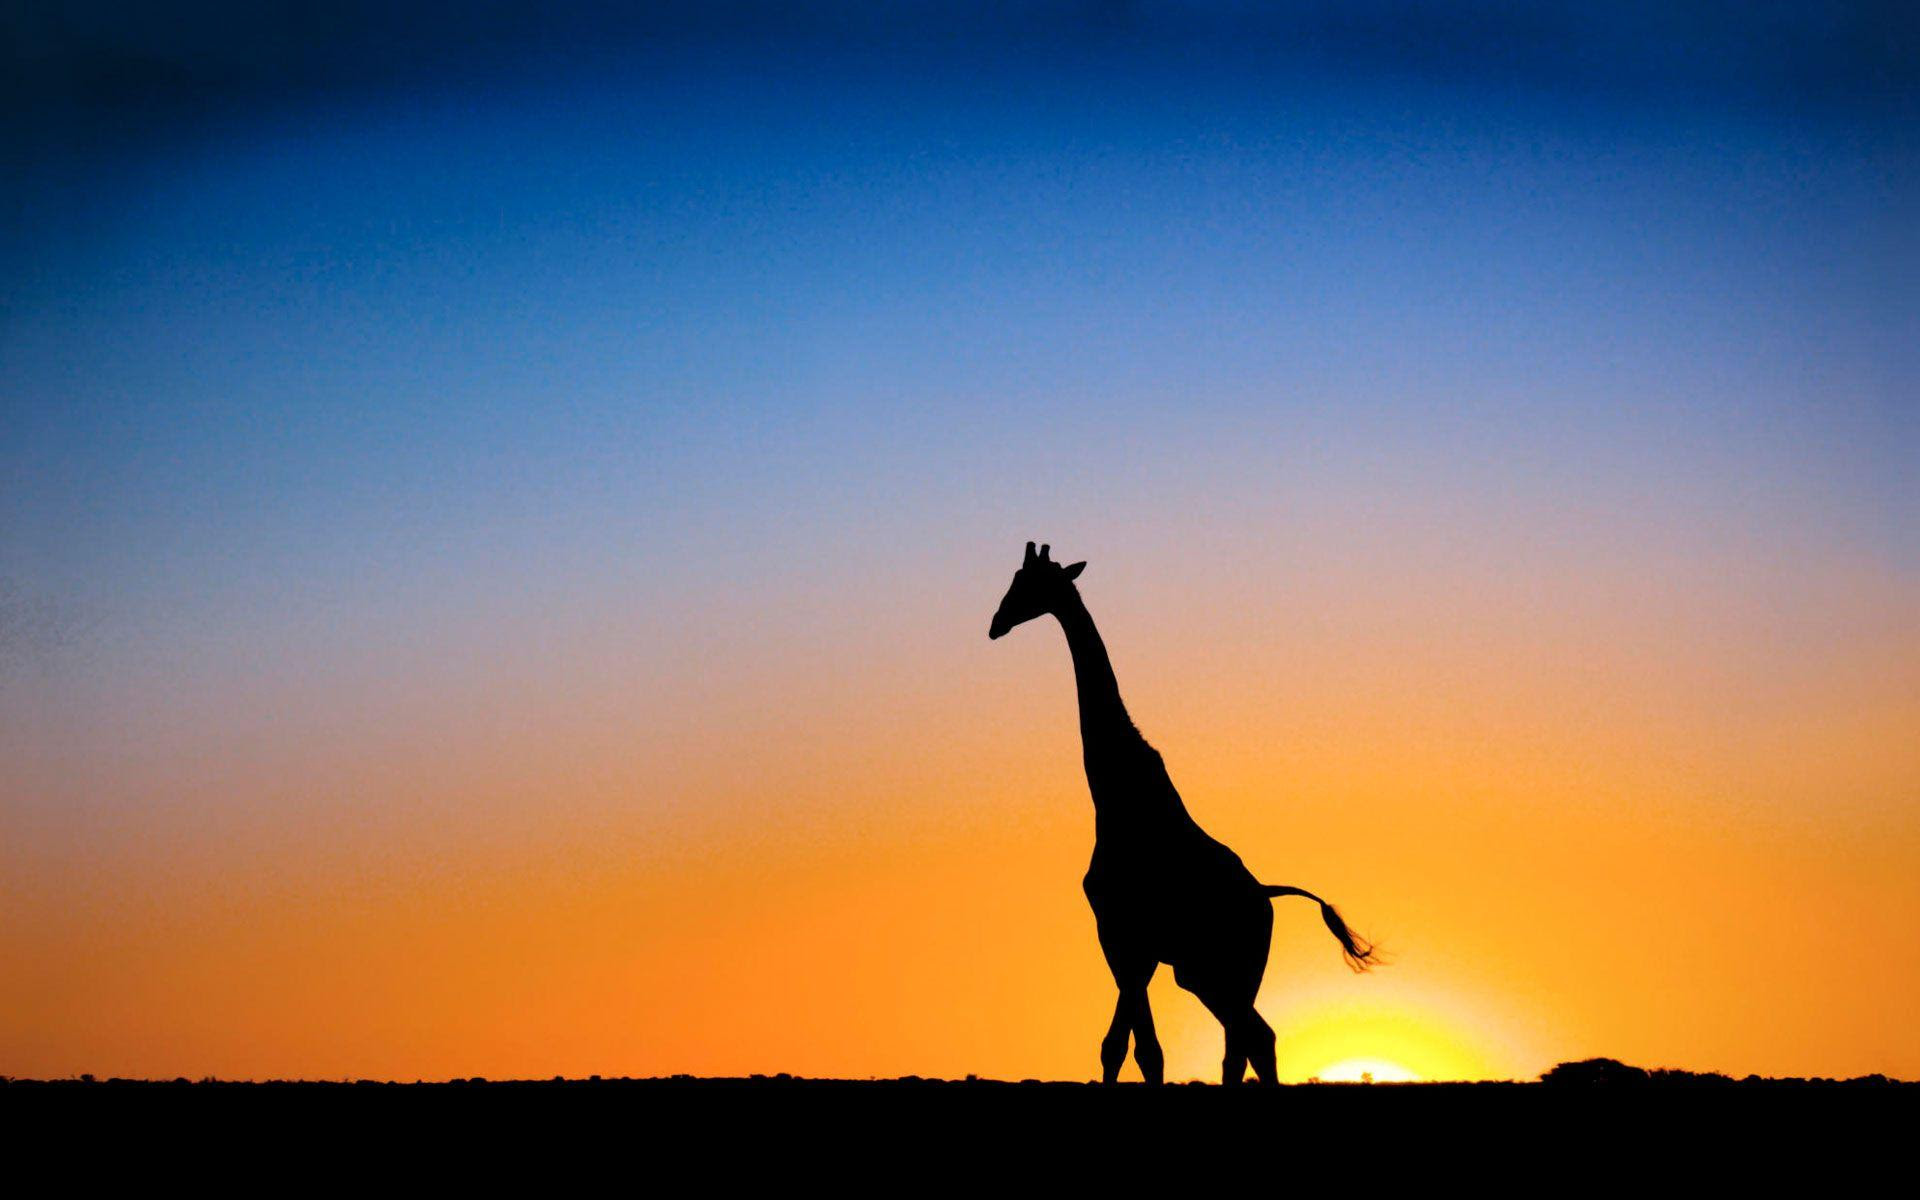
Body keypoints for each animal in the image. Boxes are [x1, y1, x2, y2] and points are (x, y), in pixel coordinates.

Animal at [989, 542, 1376, 1085]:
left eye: (1030, 583)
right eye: (1014, 579)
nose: (996, 623)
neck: (1116, 795)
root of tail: (1266, 896)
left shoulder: (1125, 933)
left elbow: (1136, 1048)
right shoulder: (1132, 941)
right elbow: (1125, 1046)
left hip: (1223, 967)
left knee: (1251, 1038)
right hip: (1208, 972)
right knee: (1251, 1039)